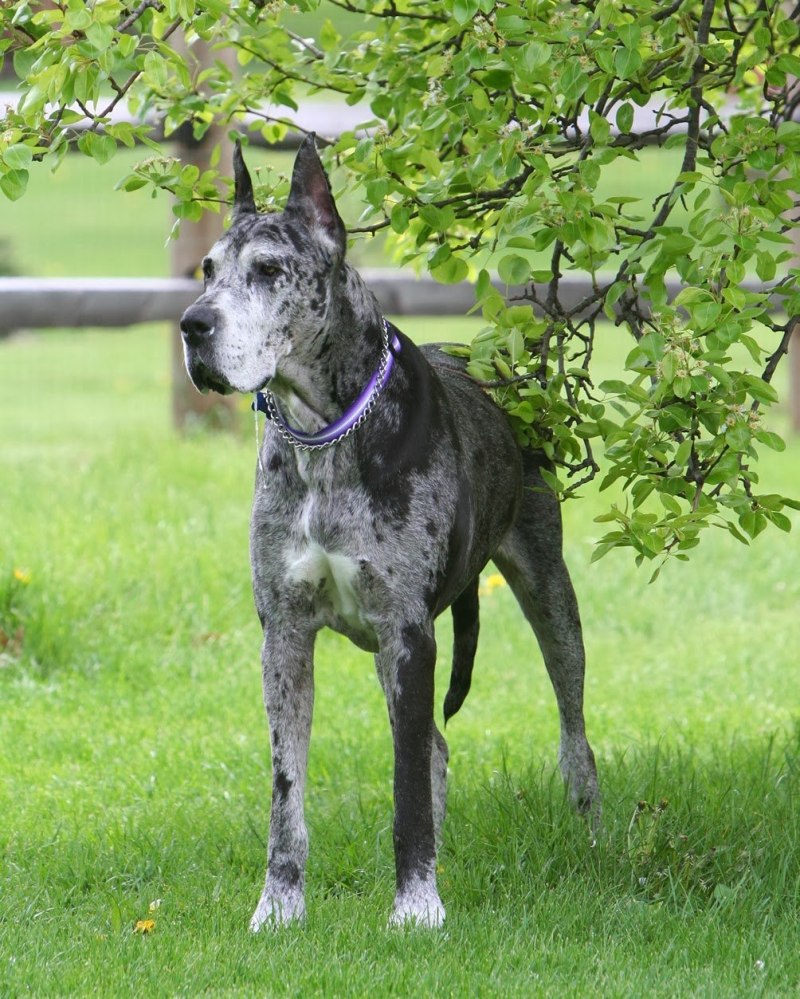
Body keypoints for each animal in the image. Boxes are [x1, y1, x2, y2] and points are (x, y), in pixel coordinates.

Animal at [178, 137, 596, 932]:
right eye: (207, 271)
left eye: (268, 271)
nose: (192, 325)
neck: (324, 437)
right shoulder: (284, 637)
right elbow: (287, 793)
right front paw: (278, 907)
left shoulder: (410, 636)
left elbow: (405, 788)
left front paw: (416, 906)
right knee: (435, 747)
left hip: (548, 590)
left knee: (571, 727)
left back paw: (591, 823)